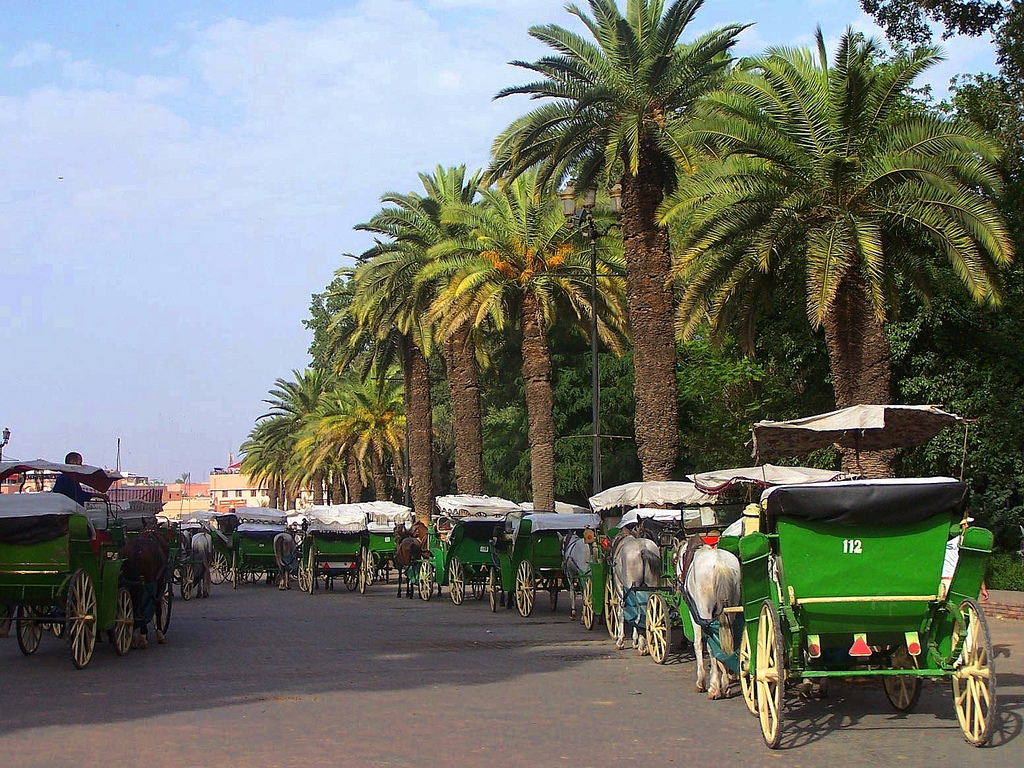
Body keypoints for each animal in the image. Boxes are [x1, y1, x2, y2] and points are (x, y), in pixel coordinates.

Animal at [675, 544, 741, 700]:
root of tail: (721, 564)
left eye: (675, 560)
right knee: (727, 642)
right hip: (732, 609)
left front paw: (701, 681)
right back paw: (726, 684)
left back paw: (715, 687)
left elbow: (698, 644)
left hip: (705, 610)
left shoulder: (695, 614)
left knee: (712, 646)